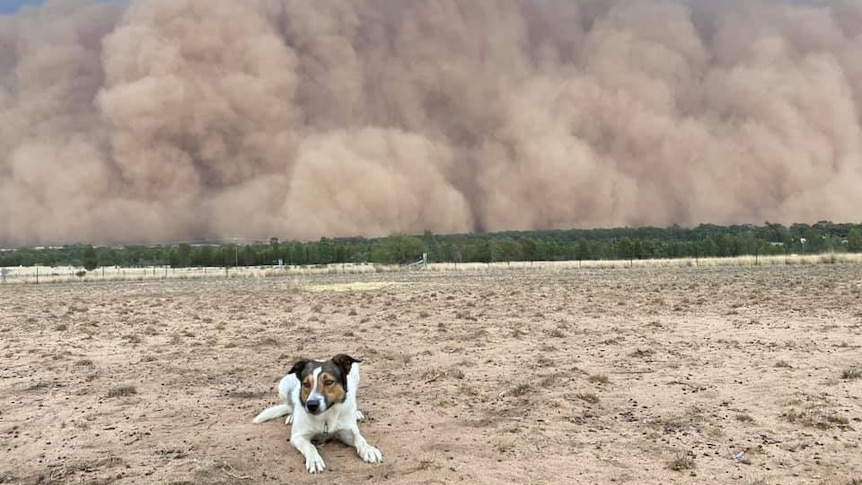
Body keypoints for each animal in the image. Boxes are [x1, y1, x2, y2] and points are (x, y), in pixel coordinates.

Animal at [251, 352, 384, 472]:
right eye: (305, 384)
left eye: (329, 382)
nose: (311, 405)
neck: (326, 416)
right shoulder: (297, 437)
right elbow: (310, 447)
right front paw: (314, 460)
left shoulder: (347, 432)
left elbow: (359, 438)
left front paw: (369, 449)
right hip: (283, 385)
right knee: (290, 406)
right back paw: (292, 416)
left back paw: (356, 413)